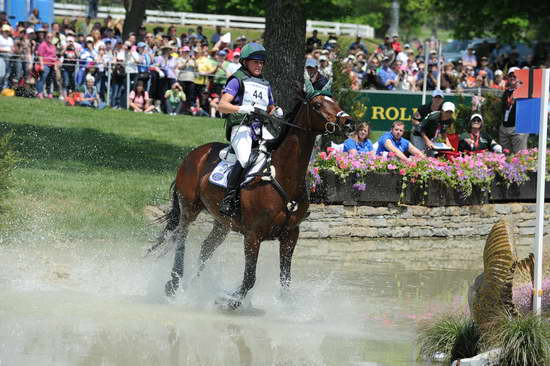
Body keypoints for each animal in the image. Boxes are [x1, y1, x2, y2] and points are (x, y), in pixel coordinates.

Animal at [150, 88, 358, 308]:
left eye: (335, 102)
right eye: (317, 105)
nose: (349, 122)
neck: (282, 175)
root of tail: (195, 154)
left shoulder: (290, 234)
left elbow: (285, 280)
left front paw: (284, 306)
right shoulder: (253, 235)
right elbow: (250, 278)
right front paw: (229, 300)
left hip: (222, 222)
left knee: (206, 247)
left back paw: (193, 286)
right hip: (190, 208)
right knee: (181, 239)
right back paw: (174, 284)